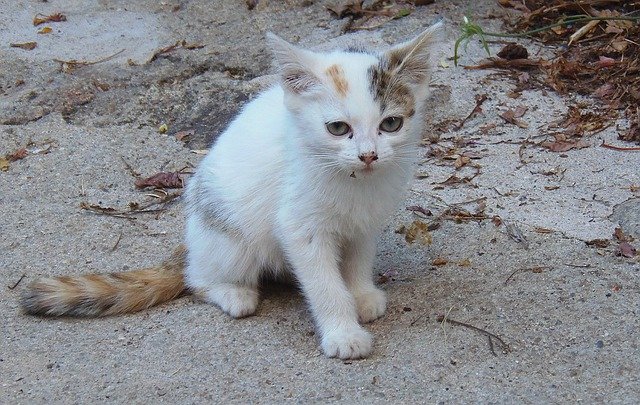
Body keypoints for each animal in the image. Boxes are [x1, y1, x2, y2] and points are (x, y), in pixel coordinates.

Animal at [18, 23, 440, 358]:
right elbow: (324, 285)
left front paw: (361, 293)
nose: (368, 155)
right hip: (230, 235)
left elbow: (358, 256)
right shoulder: (298, 226)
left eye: (391, 123)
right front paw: (343, 332)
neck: (354, 181)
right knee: (197, 277)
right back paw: (233, 293)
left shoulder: (366, 218)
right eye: (338, 128)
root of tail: (191, 242)